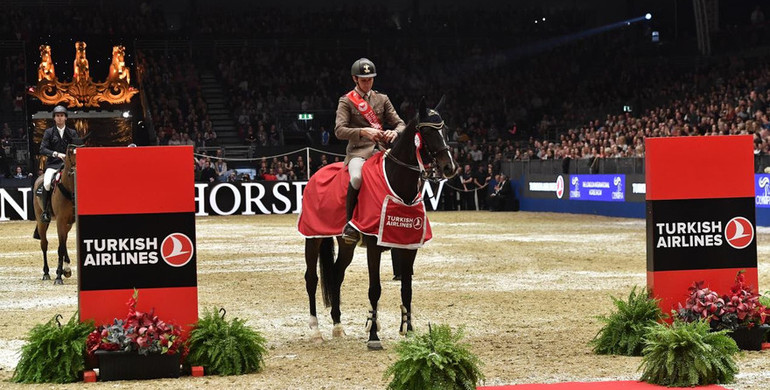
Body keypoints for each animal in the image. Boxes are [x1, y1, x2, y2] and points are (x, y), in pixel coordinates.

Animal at [32, 145, 77, 284]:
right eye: (71, 173)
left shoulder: (67, 222)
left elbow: (63, 245)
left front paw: (63, 271)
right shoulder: (60, 220)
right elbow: (60, 247)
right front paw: (58, 277)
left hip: (68, 224)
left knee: (64, 241)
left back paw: (65, 269)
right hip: (41, 221)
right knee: (44, 244)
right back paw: (46, 273)